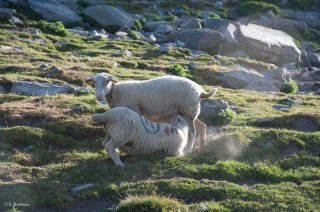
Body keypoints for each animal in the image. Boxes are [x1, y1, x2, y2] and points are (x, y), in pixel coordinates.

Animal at [85, 72, 218, 153]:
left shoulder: (133, 109)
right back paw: (202, 148)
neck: (116, 92)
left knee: (192, 132)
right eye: (94, 83)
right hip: (190, 111)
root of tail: (200, 91)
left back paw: (189, 149)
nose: (99, 97)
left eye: (107, 82)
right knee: (202, 126)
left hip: (188, 111)